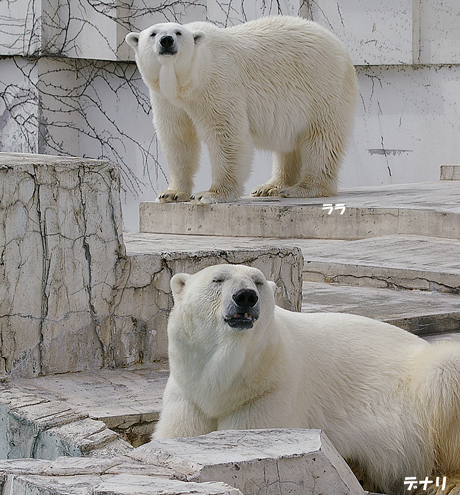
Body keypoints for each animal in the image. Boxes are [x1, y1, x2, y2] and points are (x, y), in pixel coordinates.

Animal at [126, 15, 360, 204]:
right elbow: (177, 139)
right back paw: (270, 187)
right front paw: (171, 193)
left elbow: (226, 134)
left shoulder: (217, 84)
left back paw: (304, 188)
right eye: (153, 33)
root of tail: (340, 46)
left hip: (322, 88)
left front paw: (210, 194)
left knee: (322, 138)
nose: (166, 41)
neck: (189, 81)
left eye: (178, 32)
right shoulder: (167, 100)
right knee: (289, 145)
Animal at [156, 266, 460, 495]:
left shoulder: (270, 390)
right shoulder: (188, 393)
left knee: (444, 370)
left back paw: (444, 482)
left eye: (257, 282)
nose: (245, 296)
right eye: (217, 279)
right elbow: (178, 433)